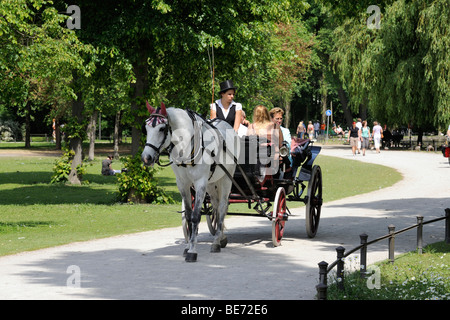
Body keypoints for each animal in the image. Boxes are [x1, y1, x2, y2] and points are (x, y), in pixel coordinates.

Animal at [142, 102, 239, 262]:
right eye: (146, 128)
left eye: (162, 128)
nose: (146, 157)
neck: (187, 147)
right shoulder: (183, 183)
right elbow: (188, 215)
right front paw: (187, 247)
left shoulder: (200, 183)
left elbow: (195, 216)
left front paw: (192, 250)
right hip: (211, 183)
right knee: (216, 207)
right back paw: (220, 238)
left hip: (226, 179)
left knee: (223, 206)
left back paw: (216, 242)